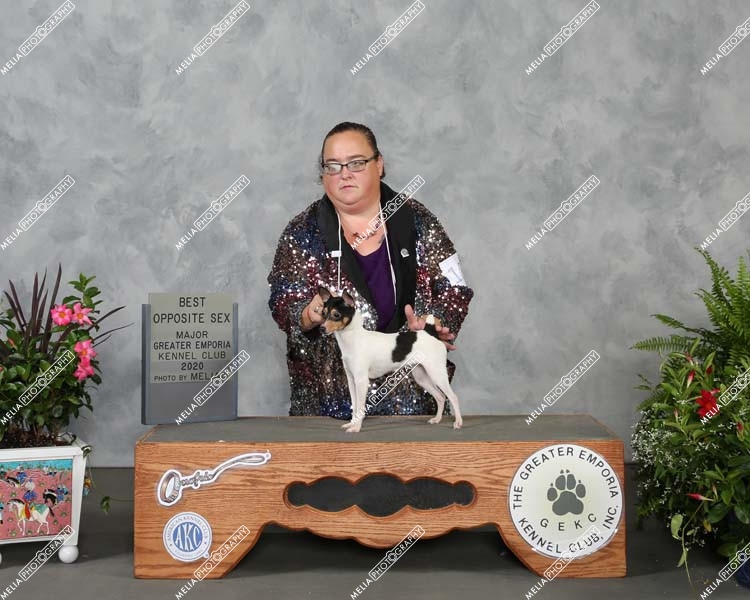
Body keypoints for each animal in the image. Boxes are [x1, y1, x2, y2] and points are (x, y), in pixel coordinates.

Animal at [317, 286, 462, 432]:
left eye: (336, 315)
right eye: (323, 313)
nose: (321, 328)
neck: (353, 338)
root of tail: (430, 332)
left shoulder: (361, 380)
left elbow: (360, 406)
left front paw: (356, 427)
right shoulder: (352, 381)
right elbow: (355, 406)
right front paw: (352, 423)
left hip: (437, 373)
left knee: (453, 397)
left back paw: (458, 422)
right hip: (422, 376)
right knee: (440, 396)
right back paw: (436, 419)